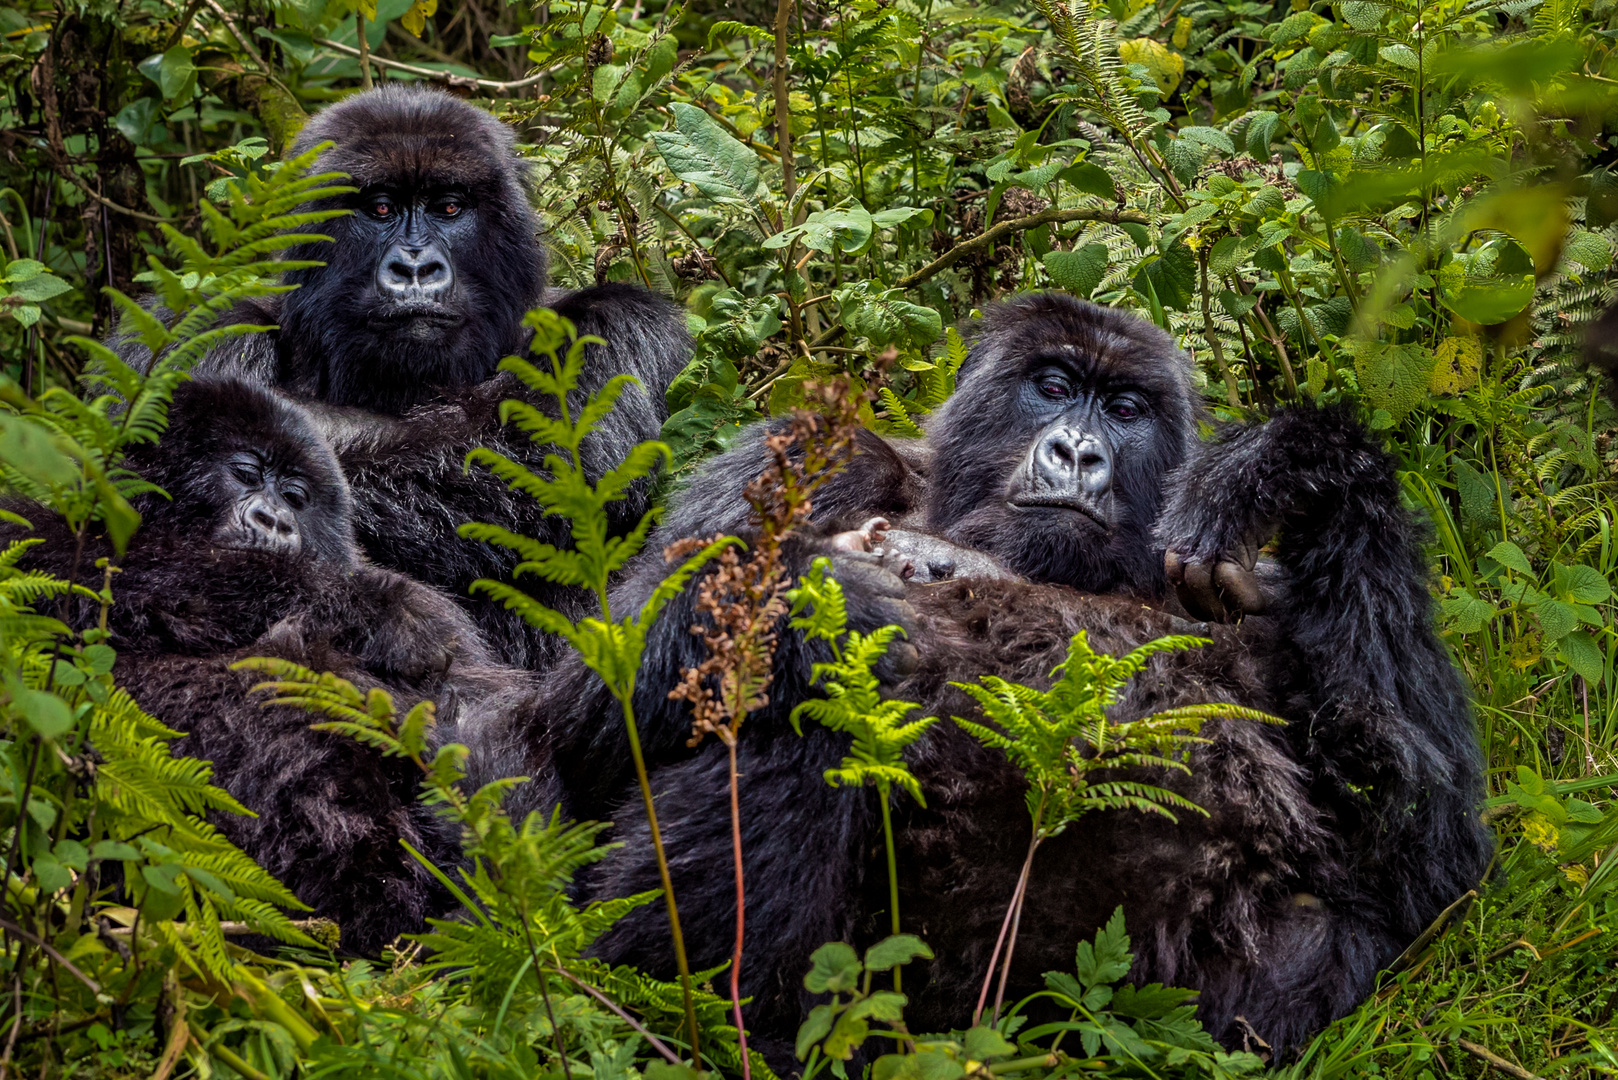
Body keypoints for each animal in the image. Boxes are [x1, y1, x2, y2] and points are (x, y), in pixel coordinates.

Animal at [119, 84, 689, 670]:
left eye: (449, 207)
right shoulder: (202, 325)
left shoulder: (618, 325)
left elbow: (540, 453)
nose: (415, 268)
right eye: (381, 208)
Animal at [491, 293, 1488, 1062]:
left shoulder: (1254, 590)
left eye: (1126, 409)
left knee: (1326, 931)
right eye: (1050, 387)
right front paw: (842, 595)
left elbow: (1424, 856)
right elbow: (579, 717)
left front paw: (1292, 459)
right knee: (799, 712)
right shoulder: (803, 458)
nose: (1077, 453)